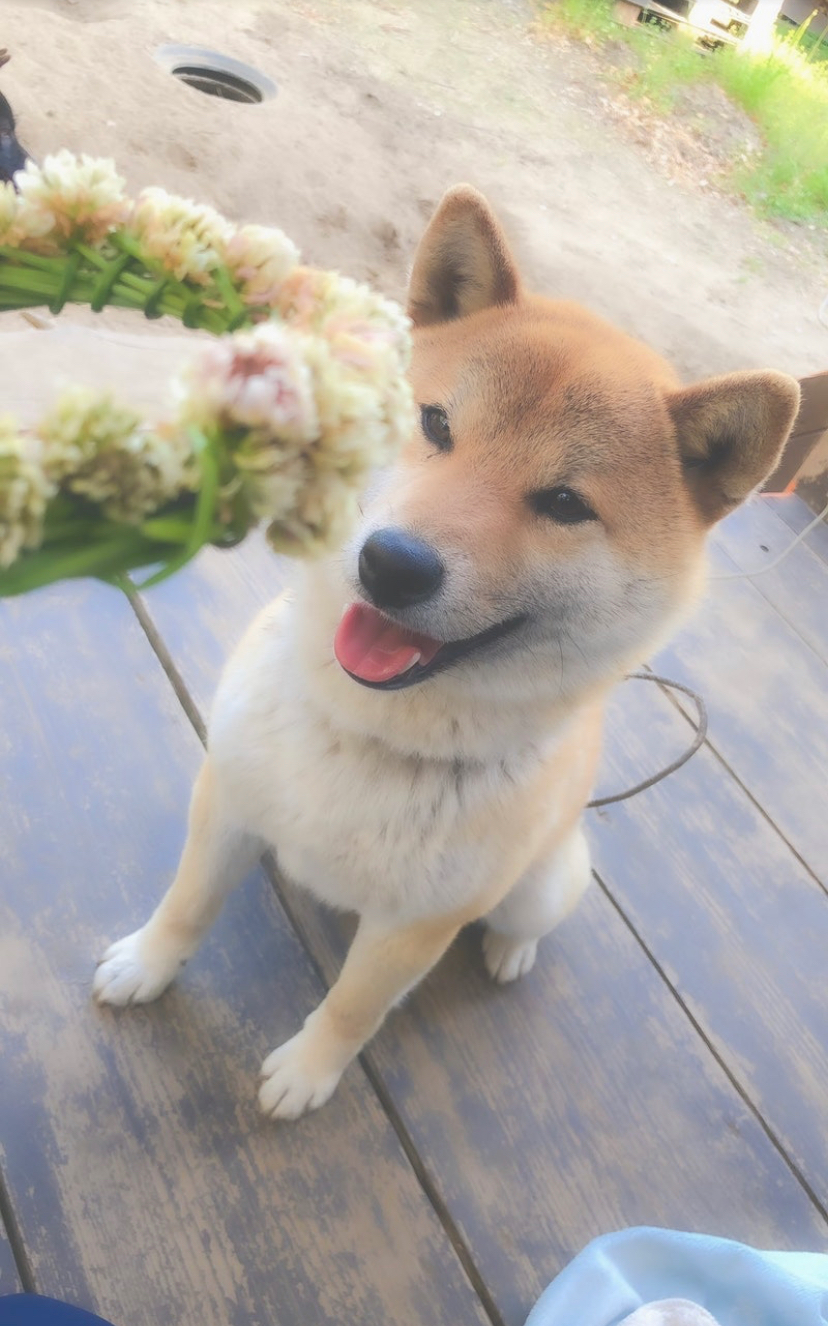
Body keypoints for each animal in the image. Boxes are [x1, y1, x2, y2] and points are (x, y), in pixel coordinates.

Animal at [93, 186, 801, 1119]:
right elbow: (184, 906)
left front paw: (306, 1073)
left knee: (519, 923)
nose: (392, 564)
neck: (367, 735)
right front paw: (145, 965)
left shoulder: (415, 924)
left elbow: (353, 1007)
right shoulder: (227, 804)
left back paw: (509, 952)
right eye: (436, 424)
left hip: (542, 883)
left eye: (565, 503)